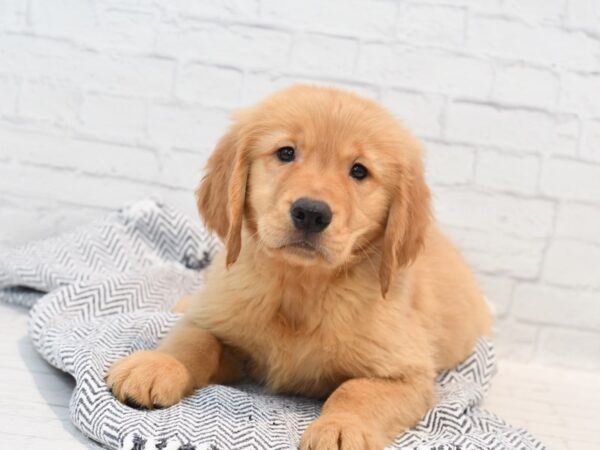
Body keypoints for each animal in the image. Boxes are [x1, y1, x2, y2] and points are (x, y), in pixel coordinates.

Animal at [108, 85, 492, 450]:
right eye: (286, 153)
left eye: (359, 171)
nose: (311, 213)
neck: (300, 286)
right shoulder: (225, 325)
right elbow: (194, 339)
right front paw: (156, 366)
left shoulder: (408, 374)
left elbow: (357, 391)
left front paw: (342, 427)